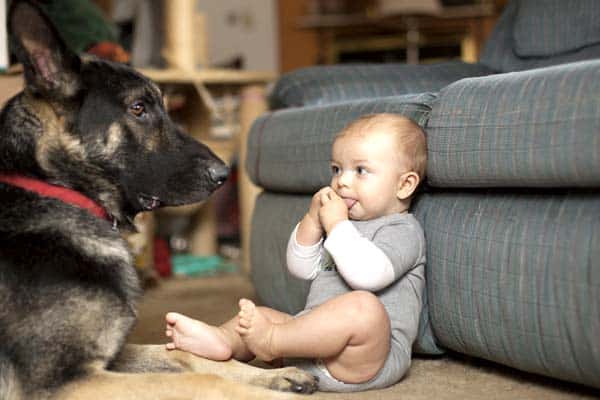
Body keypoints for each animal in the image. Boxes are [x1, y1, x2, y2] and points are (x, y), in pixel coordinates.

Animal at [0, 1, 316, 398]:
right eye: (138, 108)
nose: (223, 175)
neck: (59, 188)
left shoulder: (109, 360)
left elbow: (187, 356)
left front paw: (276, 375)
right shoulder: (64, 382)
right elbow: (203, 379)